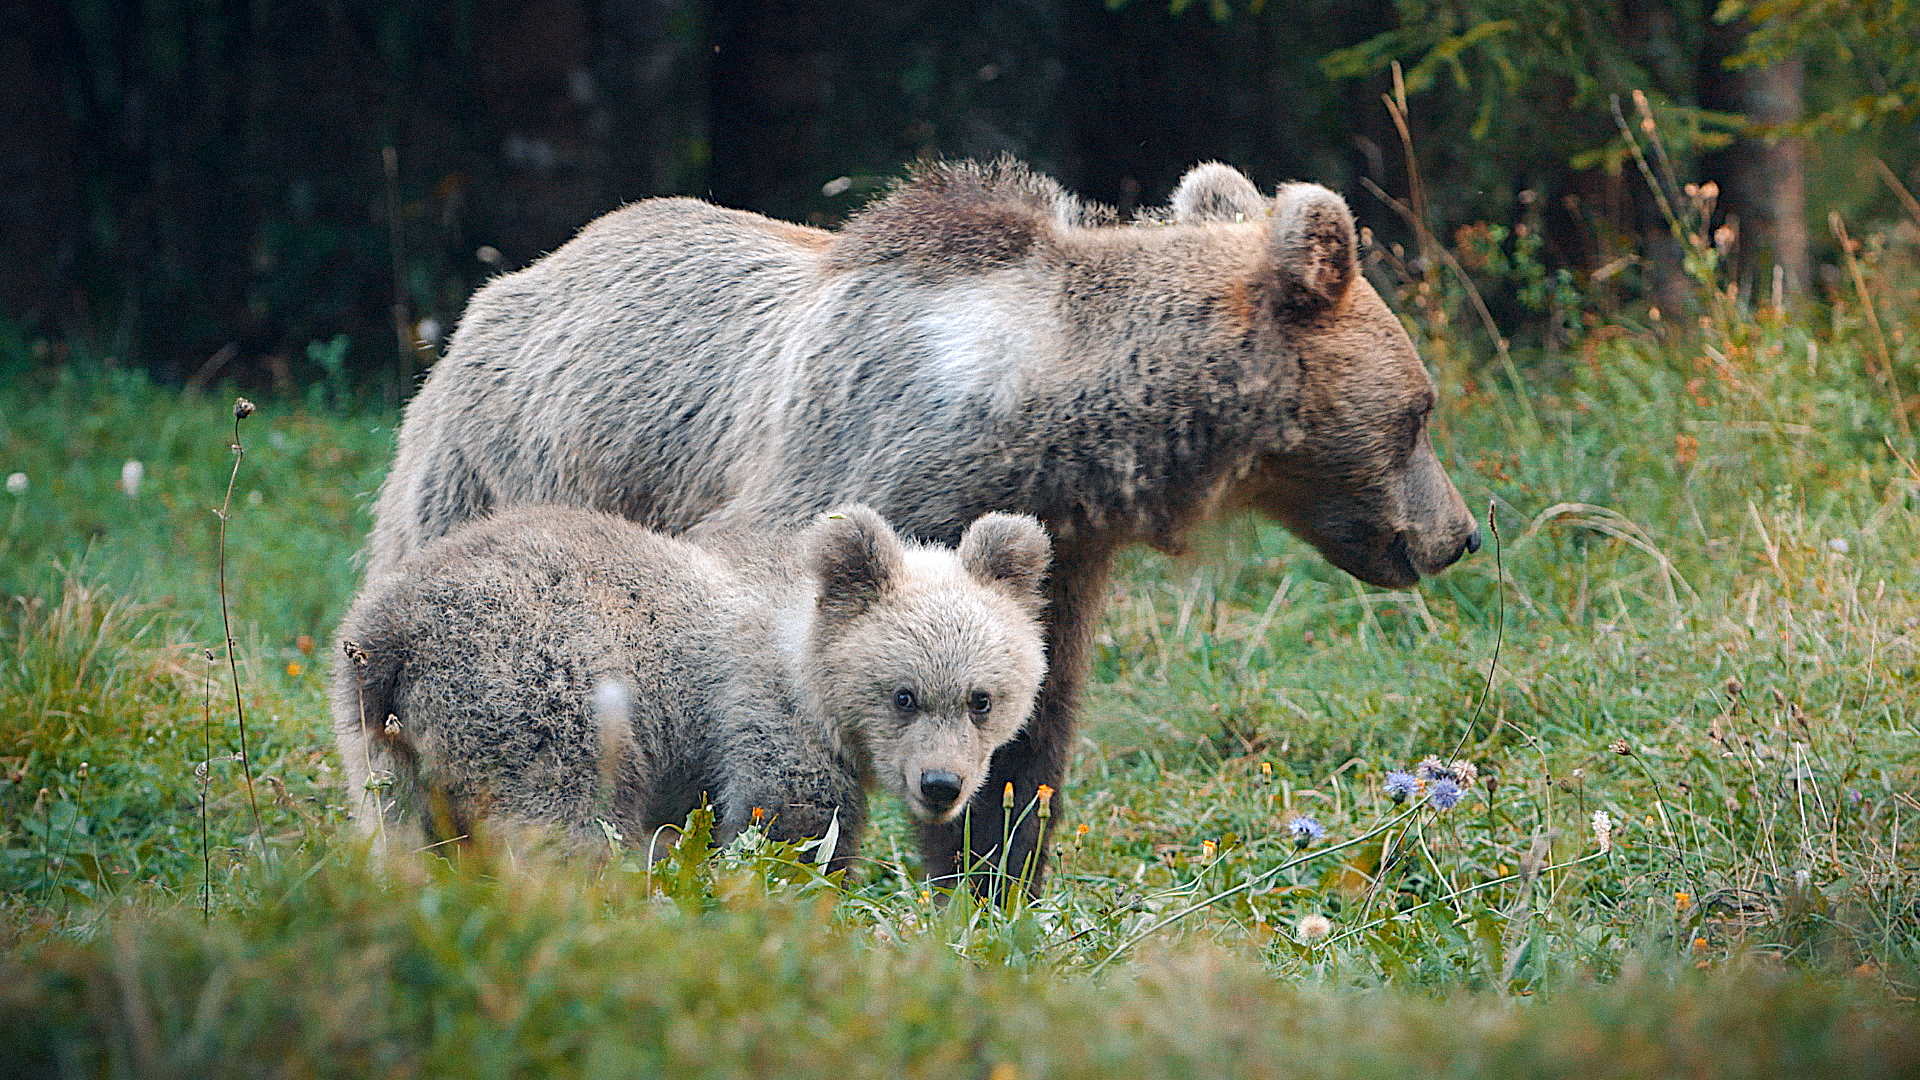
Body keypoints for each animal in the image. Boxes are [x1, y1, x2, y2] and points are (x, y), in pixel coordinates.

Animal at [360, 157, 1474, 883]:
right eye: (1419, 411)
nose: (1457, 534)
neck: (1047, 427)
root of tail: (500, 292)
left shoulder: (1056, 560)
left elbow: (1025, 745)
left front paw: (994, 881)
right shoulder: (845, 472)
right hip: (490, 469)